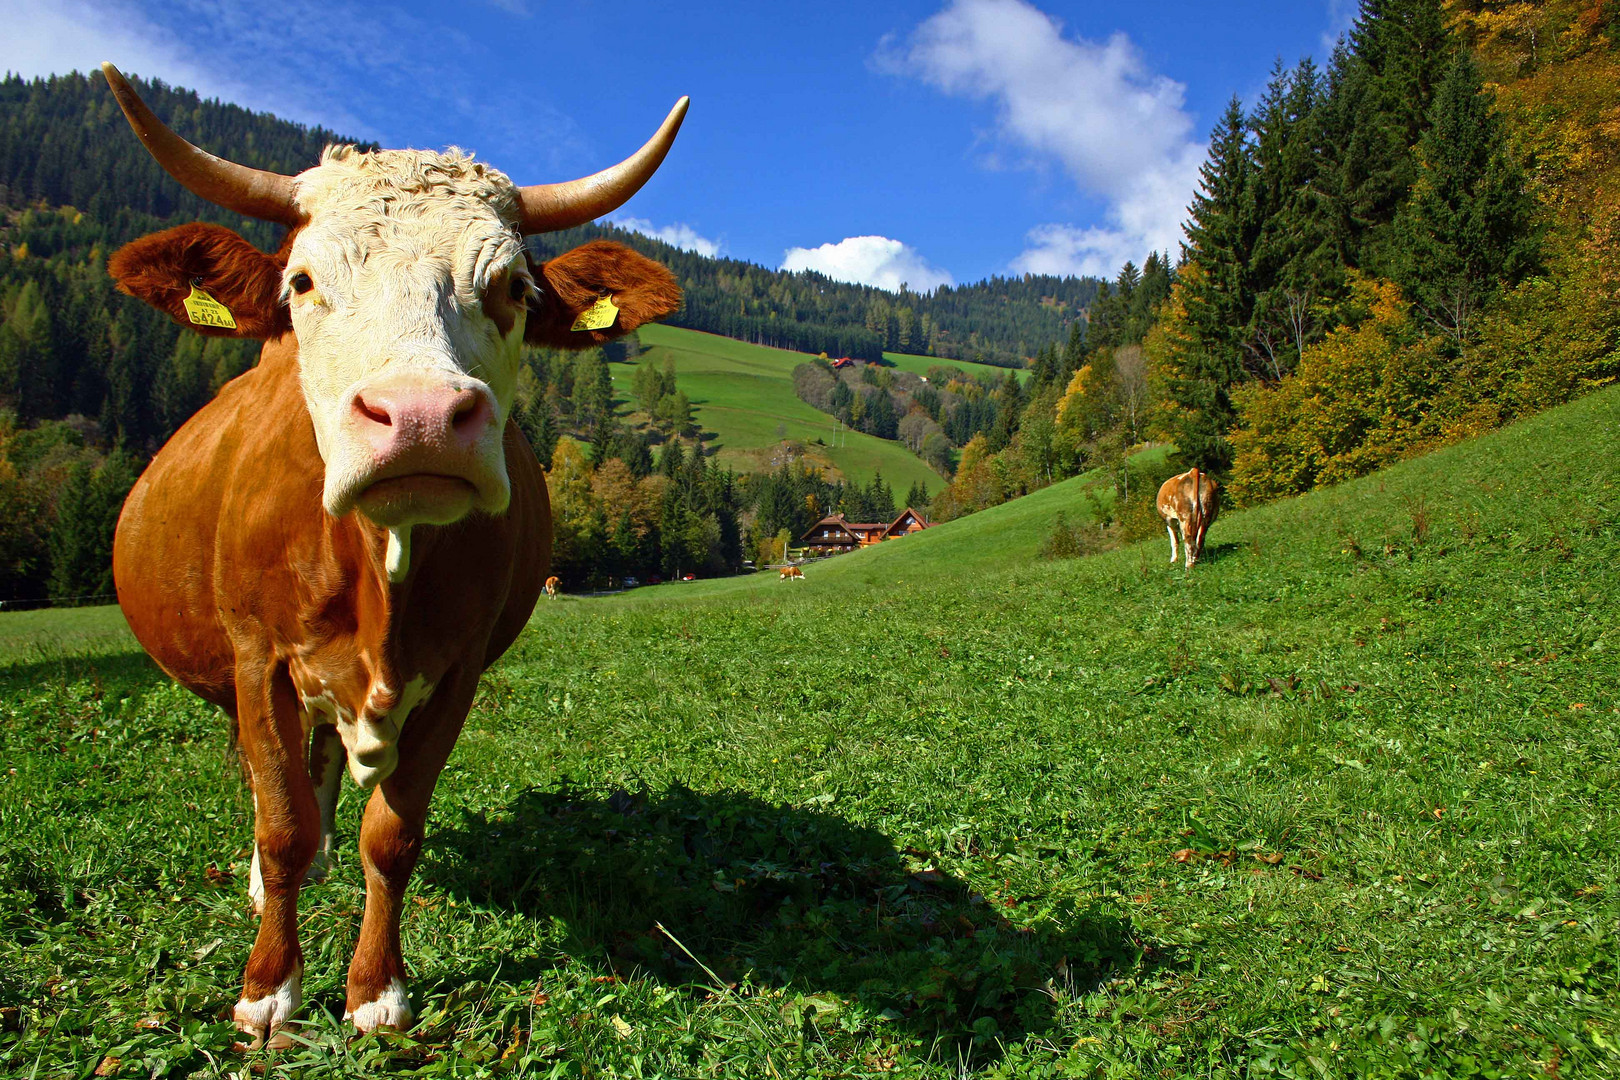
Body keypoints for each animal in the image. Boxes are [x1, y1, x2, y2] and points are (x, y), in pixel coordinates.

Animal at [99, 65, 683, 1049]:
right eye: (302, 281)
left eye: (513, 288)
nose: (419, 417)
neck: (384, 565)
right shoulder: (257, 658)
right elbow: (280, 822)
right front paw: (268, 988)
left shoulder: (457, 673)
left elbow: (393, 834)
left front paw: (375, 990)